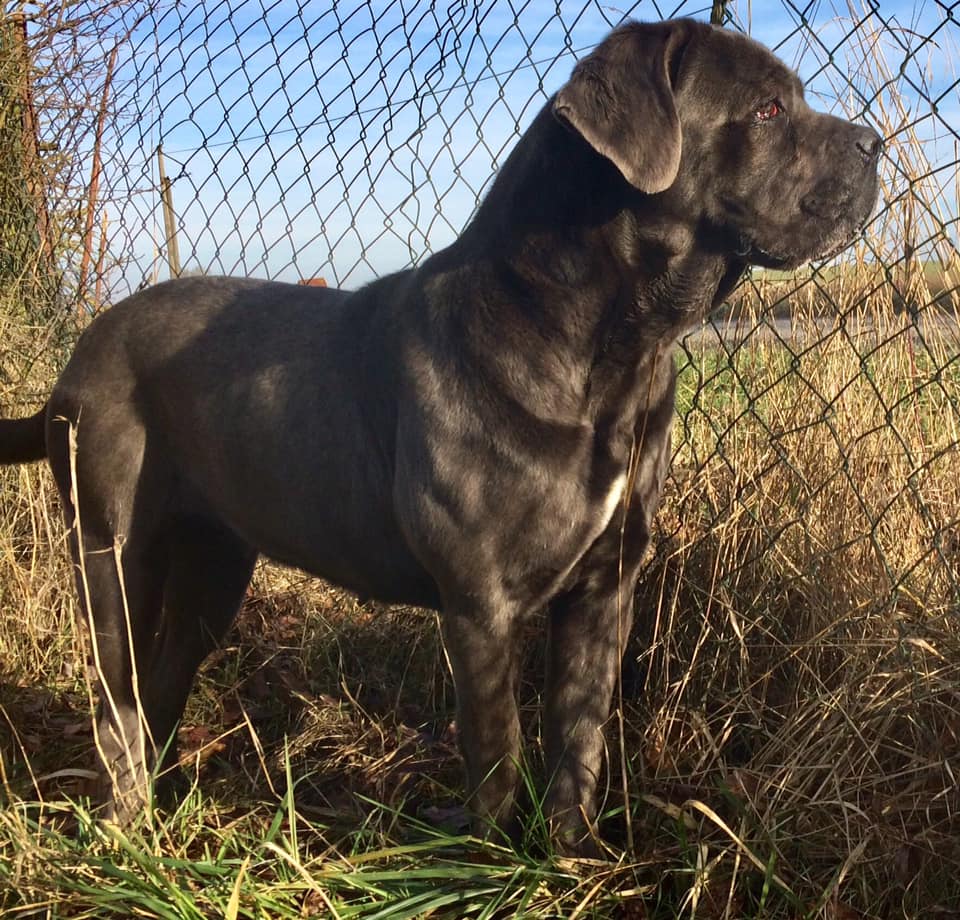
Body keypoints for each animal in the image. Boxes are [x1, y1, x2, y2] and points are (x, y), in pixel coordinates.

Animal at [0, 19, 876, 856]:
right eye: (769, 108)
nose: (875, 144)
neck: (605, 348)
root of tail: (79, 355)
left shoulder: (604, 587)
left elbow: (578, 739)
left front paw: (571, 857)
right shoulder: (478, 600)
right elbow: (497, 749)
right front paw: (485, 865)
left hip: (214, 567)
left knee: (162, 680)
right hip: (112, 552)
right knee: (116, 696)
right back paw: (124, 828)